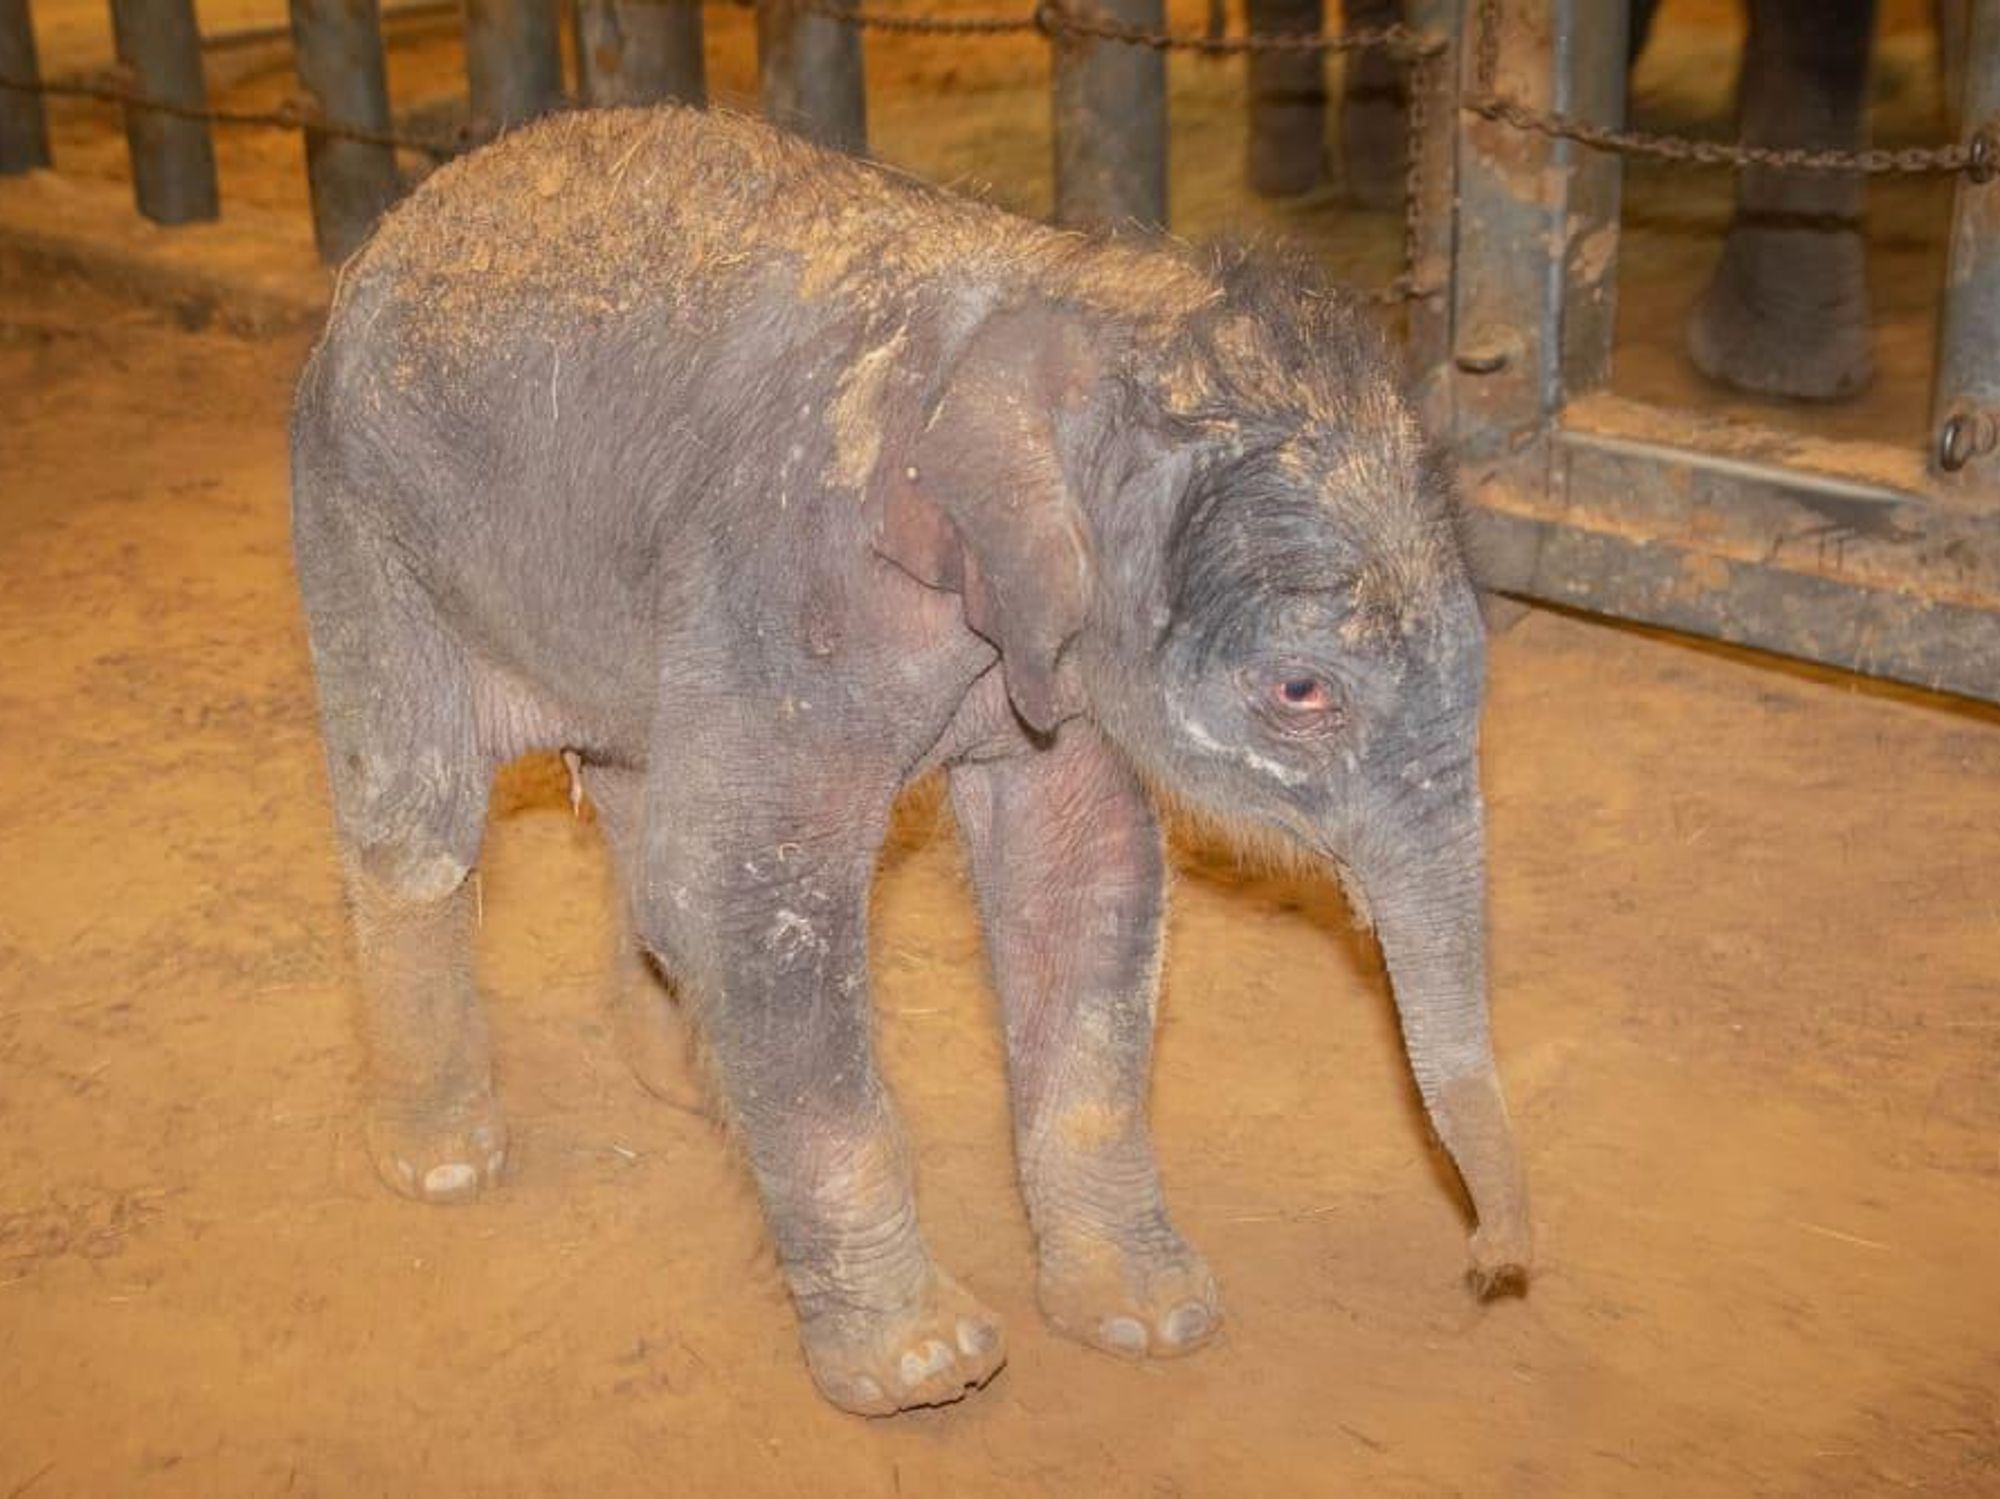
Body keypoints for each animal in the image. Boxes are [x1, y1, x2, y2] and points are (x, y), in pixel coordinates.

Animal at [291, 104, 1529, 1417]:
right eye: (1300, 692)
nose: (1488, 1266)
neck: (1073, 295)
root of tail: (401, 223)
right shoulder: (791, 578)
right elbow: (745, 892)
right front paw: (925, 1367)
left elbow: (1078, 875)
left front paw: (1149, 1318)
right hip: (355, 511)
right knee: (419, 822)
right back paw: (444, 1161)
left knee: (633, 800)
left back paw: (681, 1083)